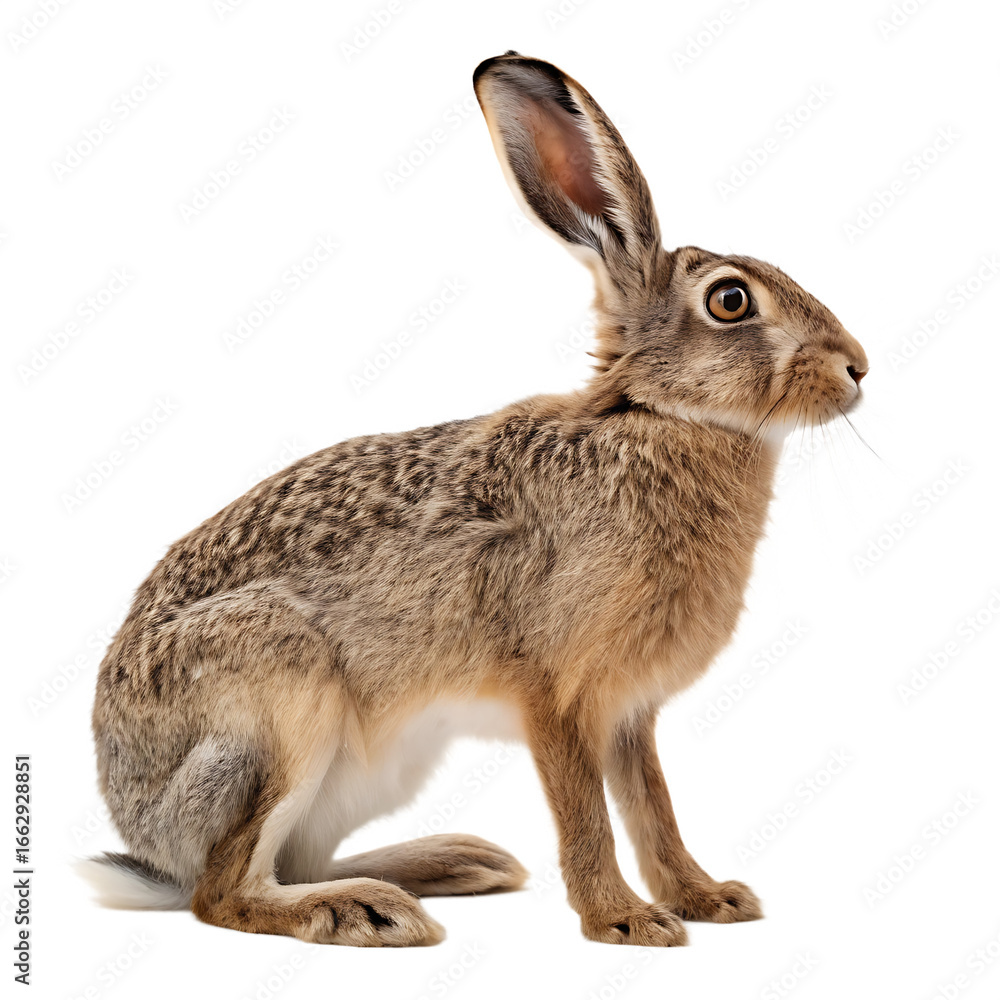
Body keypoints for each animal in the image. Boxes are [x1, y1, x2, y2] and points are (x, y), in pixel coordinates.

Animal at [79, 51, 868, 948]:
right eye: (731, 300)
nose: (857, 367)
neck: (653, 422)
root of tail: (143, 832)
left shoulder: (630, 714)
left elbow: (653, 809)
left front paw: (710, 899)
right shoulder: (557, 693)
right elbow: (588, 815)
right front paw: (626, 921)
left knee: (289, 860)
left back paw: (455, 864)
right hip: (280, 701)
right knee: (224, 890)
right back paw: (364, 911)